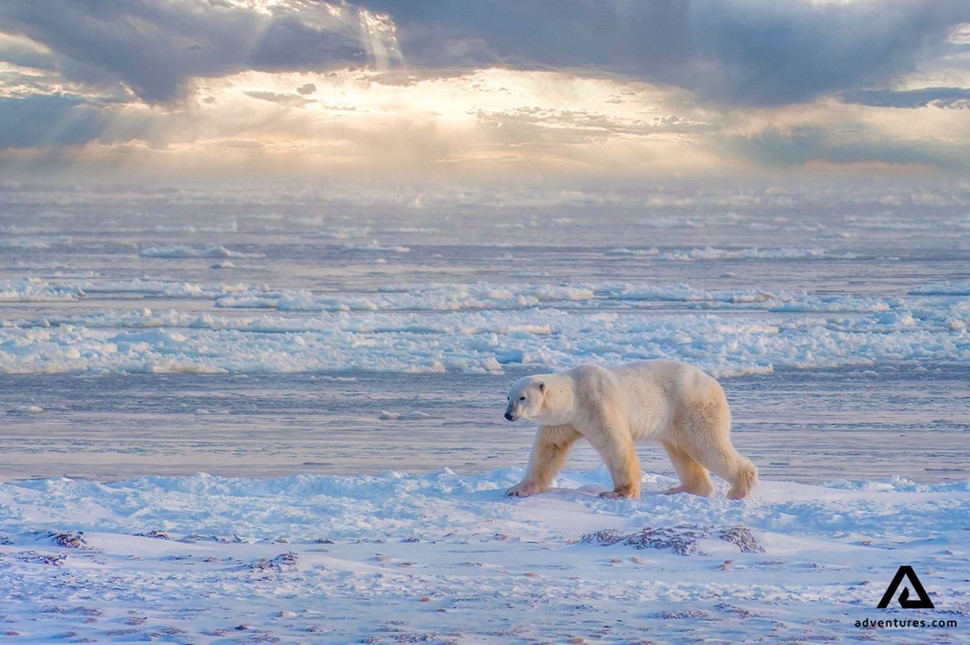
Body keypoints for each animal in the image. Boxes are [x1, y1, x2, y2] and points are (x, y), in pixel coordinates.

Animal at [506, 360, 756, 500]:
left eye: (522, 397)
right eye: (508, 396)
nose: (508, 415)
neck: (575, 393)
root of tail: (714, 383)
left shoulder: (598, 404)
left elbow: (615, 444)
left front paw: (618, 493)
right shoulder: (563, 421)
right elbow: (548, 449)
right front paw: (517, 489)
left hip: (692, 407)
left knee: (707, 444)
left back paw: (739, 489)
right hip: (676, 420)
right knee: (681, 451)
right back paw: (685, 488)